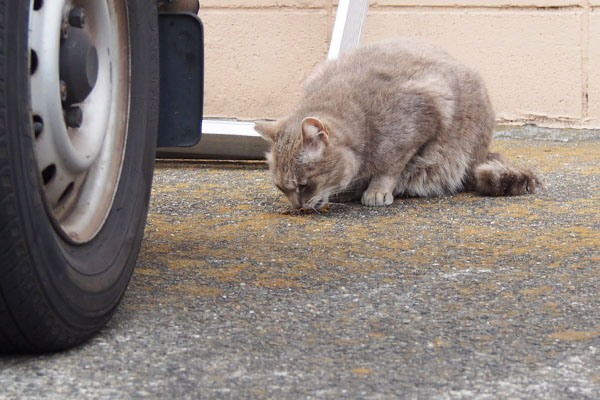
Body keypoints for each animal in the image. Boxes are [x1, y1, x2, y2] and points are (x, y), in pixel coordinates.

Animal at [253, 37, 540, 209]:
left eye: (303, 185)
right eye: (281, 188)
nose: (297, 206)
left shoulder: (421, 118)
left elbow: (390, 167)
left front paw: (377, 190)